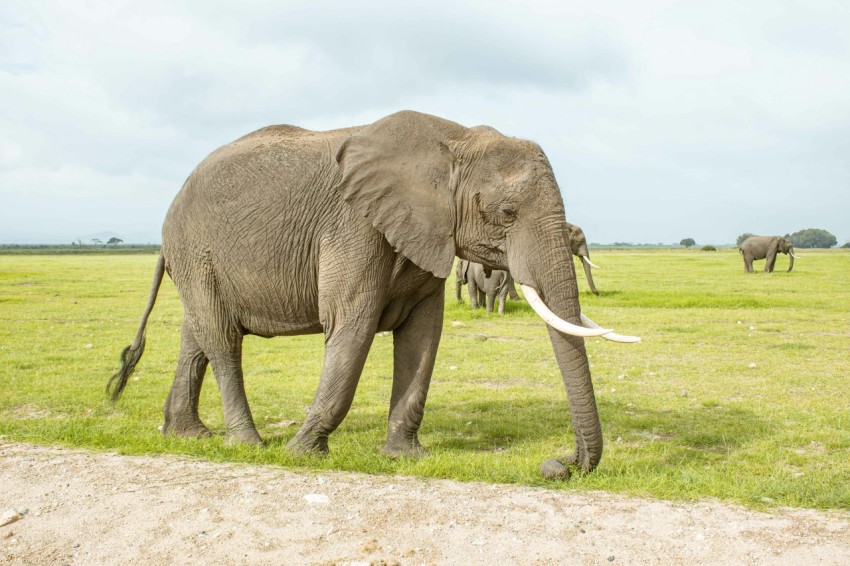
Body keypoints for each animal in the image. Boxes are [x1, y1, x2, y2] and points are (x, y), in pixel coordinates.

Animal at [107, 110, 638, 476]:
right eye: (506, 213)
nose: (559, 464)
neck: (454, 141)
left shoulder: (424, 234)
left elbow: (424, 336)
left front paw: (405, 456)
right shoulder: (355, 225)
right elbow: (352, 325)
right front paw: (303, 452)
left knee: (196, 337)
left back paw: (188, 435)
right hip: (197, 249)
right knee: (222, 338)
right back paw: (247, 445)